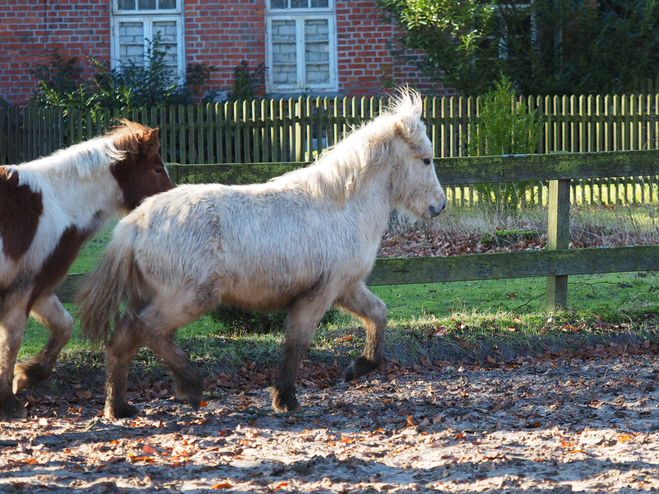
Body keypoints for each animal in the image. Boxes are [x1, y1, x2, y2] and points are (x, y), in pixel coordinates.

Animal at [0, 121, 175, 418]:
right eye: (157, 169)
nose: (171, 203)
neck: (60, 203)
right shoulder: (22, 289)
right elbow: (10, 344)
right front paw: (8, 405)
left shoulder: (40, 287)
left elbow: (64, 326)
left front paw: (25, 376)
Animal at [78, 90, 448, 418]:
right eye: (426, 159)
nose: (440, 206)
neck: (342, 205)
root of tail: (135, 224)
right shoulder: (321, 293)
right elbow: (297, 342)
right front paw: (285, 398)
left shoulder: (345, 287)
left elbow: (378, 314)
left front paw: (358, 368)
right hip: (188, 298)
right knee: (150, 330)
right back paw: (190, 386)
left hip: (147, 296)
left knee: (122, 340)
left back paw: (119, 408)